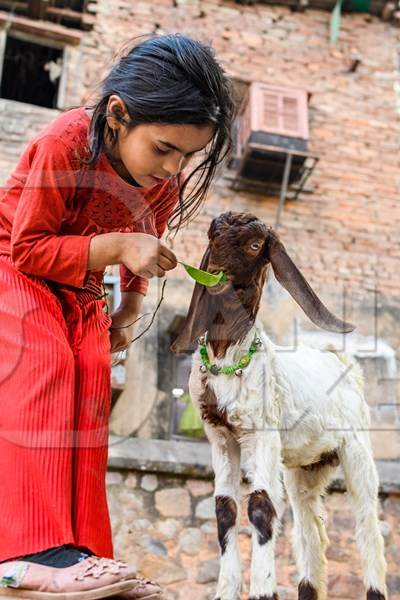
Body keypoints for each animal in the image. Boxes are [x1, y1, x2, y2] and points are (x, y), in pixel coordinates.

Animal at [172, 211, 388, 600]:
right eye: (212, 236)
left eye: (256, 245)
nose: (214, 274)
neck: (229, 356)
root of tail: (339, 359)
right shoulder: (221, 438)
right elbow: (224, 509)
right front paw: (226, 590)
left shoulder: (263, 434)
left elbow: (261, 506)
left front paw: (262, 590)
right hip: (307, 467)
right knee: (310, 529)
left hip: (357, 449)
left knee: (367, 522)